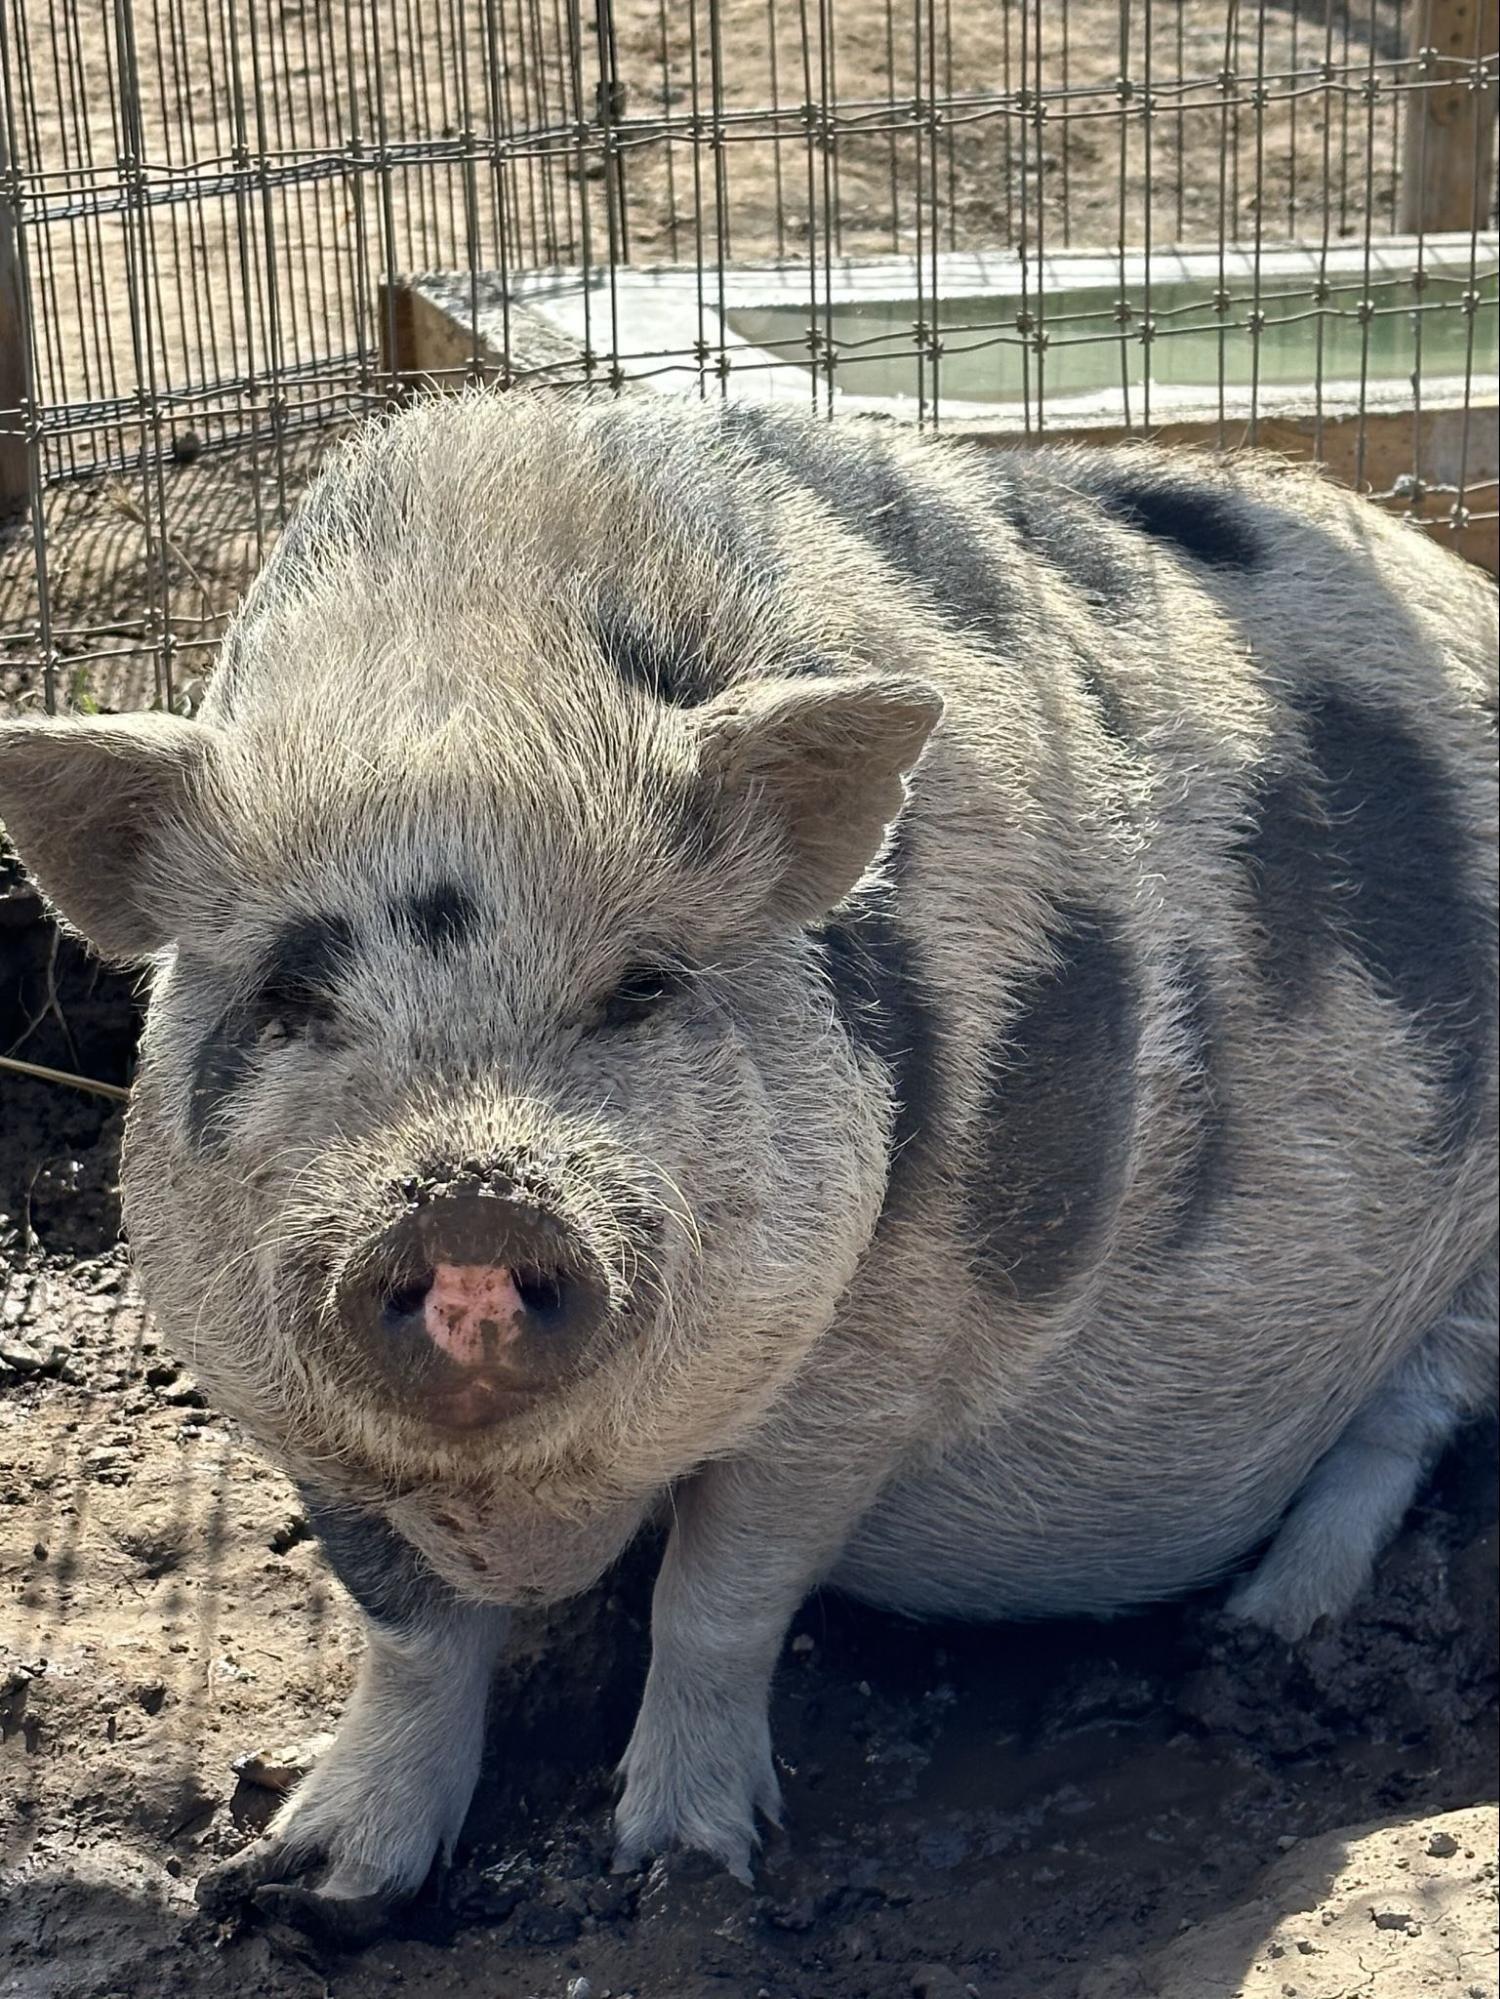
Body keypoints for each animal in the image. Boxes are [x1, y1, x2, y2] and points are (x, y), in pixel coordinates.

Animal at [0, 392, 1495, 1927]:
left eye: (641, 985)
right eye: (290, 996)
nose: (470, 1199)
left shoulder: (880, 1345)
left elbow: (723, 1596)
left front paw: (682, 1861)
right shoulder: (279, 1401)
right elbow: (406, 1630)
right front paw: (318, 1879)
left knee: (1409, 1415)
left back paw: (1266, 1628)